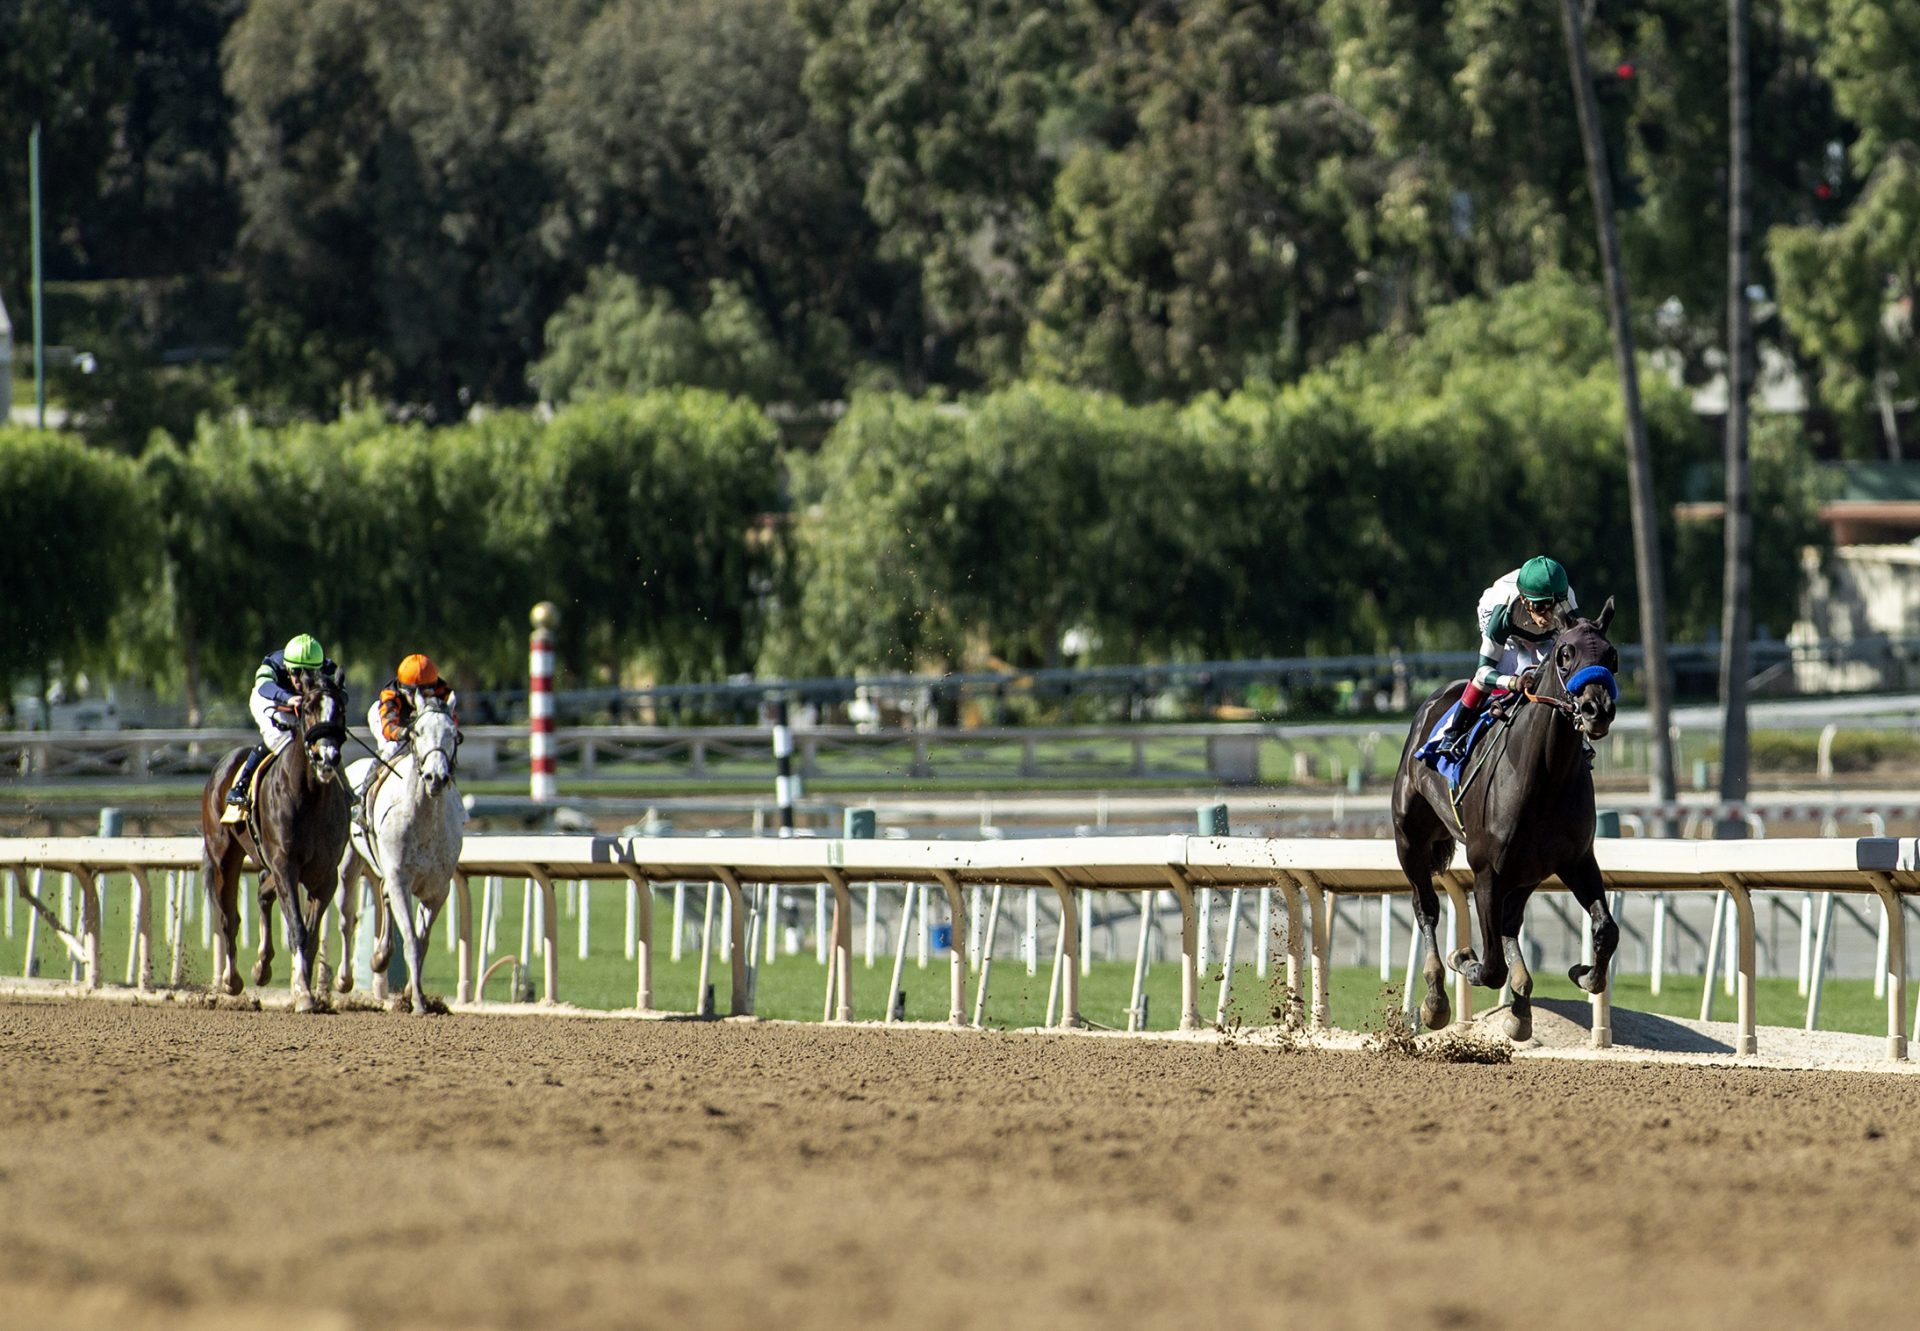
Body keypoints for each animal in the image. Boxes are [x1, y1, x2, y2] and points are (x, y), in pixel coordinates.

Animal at [201, 676, 353, 1006]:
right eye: (307, 708)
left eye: (340, 709)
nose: (327, 757)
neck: (309, 795)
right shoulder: (285, 864)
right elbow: (297, 928)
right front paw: (303, 994)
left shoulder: (325, 875)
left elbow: (311, 934)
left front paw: (303, 988)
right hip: (224, 857)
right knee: (229, 917)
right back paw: (231, 981)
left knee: (262, 889)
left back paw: (261, 967)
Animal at [337, 695, 464, 1006]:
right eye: (418, 732)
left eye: (453, 734)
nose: (435, 778)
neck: (424, 821)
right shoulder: (400, 879)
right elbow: (411, 938)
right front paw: (417, 1000)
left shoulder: (438, 889)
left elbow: (423, 940)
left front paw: (411, 992)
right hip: (347, 864)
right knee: (346, 917)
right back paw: (344, 979)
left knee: (380, 895)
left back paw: (380, 957)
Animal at [1397, 595, 1620, 1044]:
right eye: (1565, 654)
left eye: (1612, 656)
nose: (1597, 710)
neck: (1545, 777)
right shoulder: (1487, 871)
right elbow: (1489, 965)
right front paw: (1464, 958)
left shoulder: (1576, 859)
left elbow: (1607, 929)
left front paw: (1584, 974)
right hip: (1409, 839)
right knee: (1426, 907)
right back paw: (1436, 1000)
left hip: (1529, 870)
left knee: (1510, 921)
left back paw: (1521, 1007)